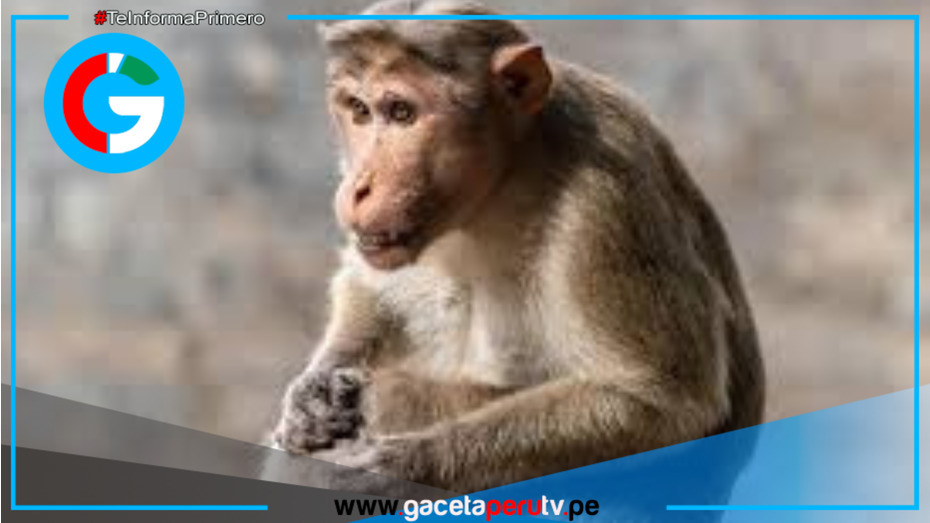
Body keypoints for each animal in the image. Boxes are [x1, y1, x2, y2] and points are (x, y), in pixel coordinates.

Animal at [270, 0, 764, 495]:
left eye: (401, 112)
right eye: (359, 110)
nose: (357, 188)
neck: (507, 178)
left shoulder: (608, 197)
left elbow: (661, 403)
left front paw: (397, 468)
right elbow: (368, 288)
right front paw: (312, 393)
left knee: (390, 395)